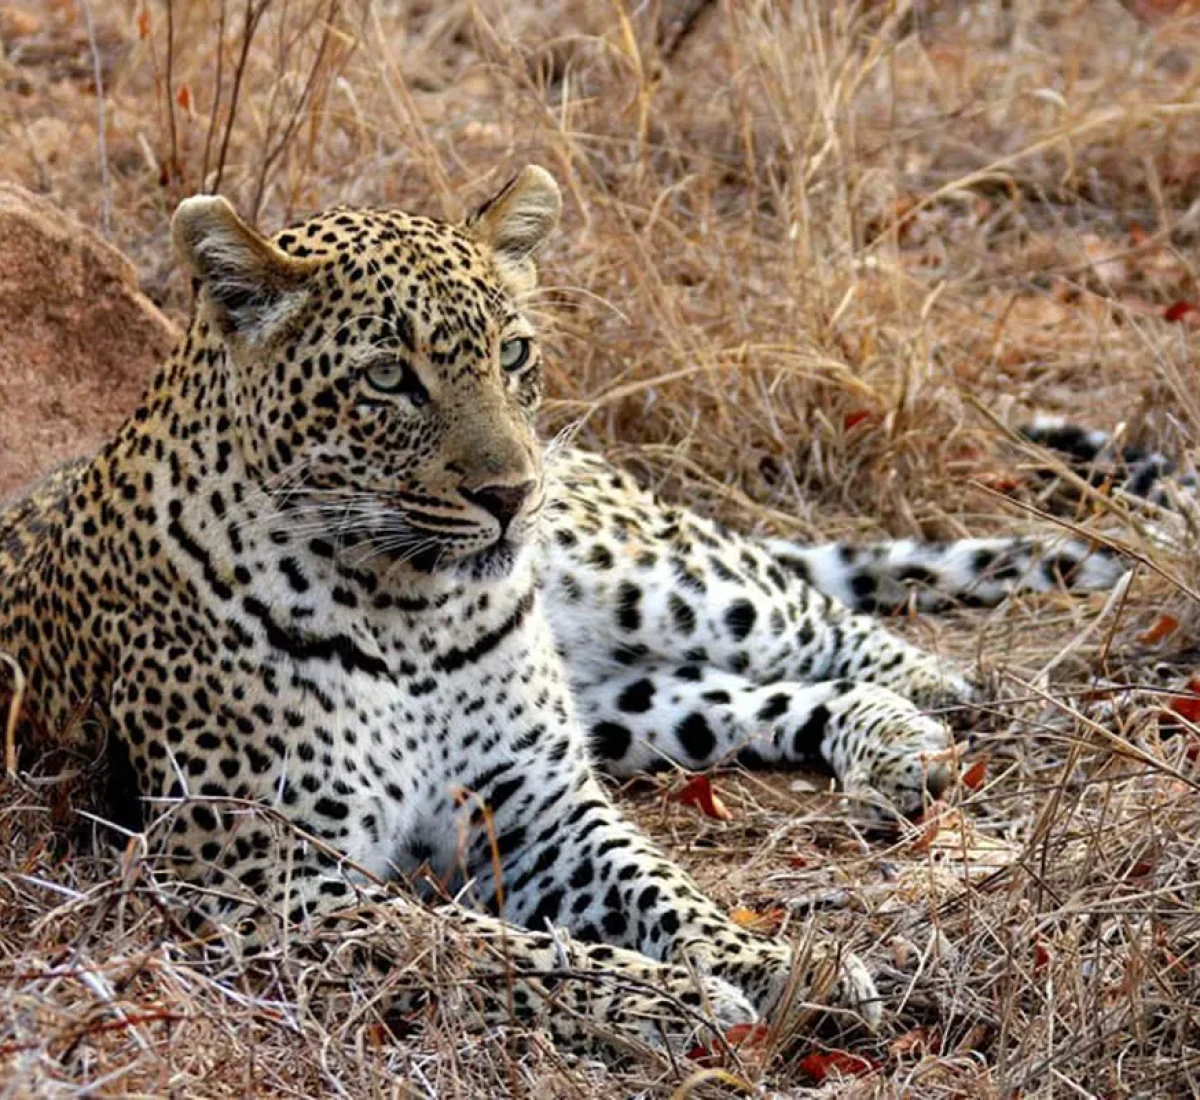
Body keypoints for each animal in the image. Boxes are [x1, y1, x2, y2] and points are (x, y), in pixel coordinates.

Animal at [0, 165, 1132, 1058]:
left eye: (512, 354)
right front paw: (676, 1000)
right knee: (745, 698)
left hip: (656, 580)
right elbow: (482, 946)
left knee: (821, 622)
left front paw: (773, 961)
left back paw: (945, 710)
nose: (513, 493)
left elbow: (661, 887)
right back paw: (899, 743)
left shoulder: (537, 803)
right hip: (622, 698)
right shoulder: (267, 878)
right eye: (387, 377)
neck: (405, 611)